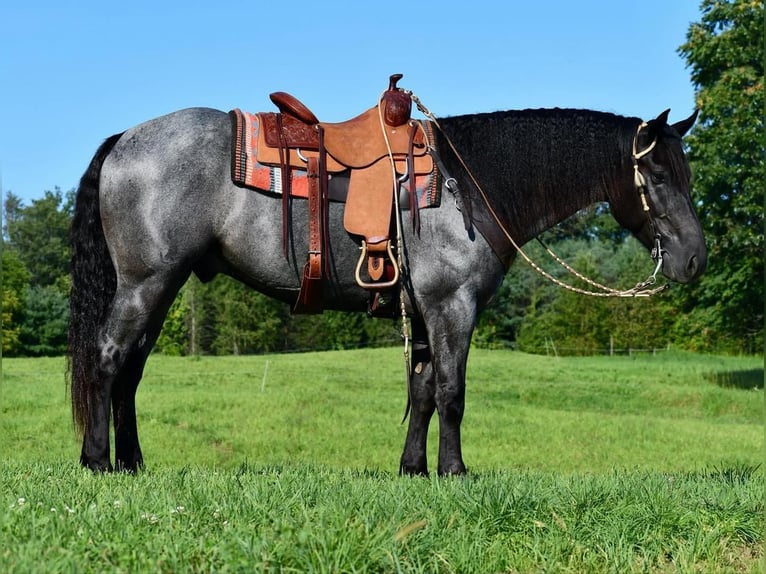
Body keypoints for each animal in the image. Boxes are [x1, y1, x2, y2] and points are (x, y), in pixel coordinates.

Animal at [67, 99, 708, 476]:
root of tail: (125, 137)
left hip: (161, 287)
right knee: (107, 360)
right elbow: (452, 391)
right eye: (654, 172)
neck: (470, 186)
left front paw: (414, 469)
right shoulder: (453, 306)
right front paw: (453, 471)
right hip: (145, 283)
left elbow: (422, 392)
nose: (695, 258)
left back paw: (132, 462)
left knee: (130, 372)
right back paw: (97, 461)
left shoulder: (424, 312)